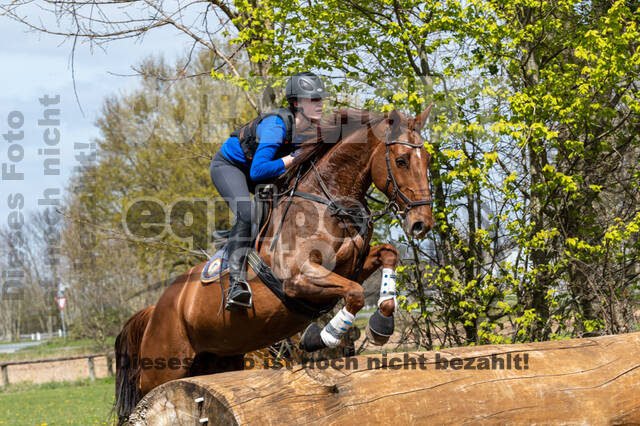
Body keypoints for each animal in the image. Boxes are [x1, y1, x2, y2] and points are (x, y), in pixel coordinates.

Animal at [115, 105, 436, 422]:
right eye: (402, 160)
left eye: (428, 159)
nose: (422, 224)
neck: (328, 203)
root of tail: (156, 309)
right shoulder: (299, 278)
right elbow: (355, 293)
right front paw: (321, 336)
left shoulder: (351, 266)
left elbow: (388, 254)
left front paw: (381, 325)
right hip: (162, 367)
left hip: (217, 359)